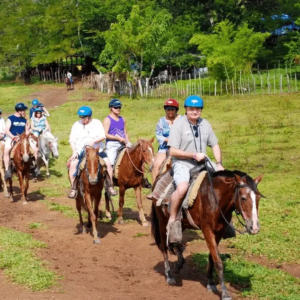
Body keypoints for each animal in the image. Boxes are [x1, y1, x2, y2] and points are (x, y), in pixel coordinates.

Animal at [151, 171, 264, 300]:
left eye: (258, 197)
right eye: (243, 198)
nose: (254, 227)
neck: (215, 199)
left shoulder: (219, 232)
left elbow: (212, 257)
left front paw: (210, 283)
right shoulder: (207, 230)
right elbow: (218, 261)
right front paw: (225, 293)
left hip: (181, 223)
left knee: (175, 240)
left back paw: (179, 264)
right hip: (162, 222)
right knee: (164, 247)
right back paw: (169, 276)